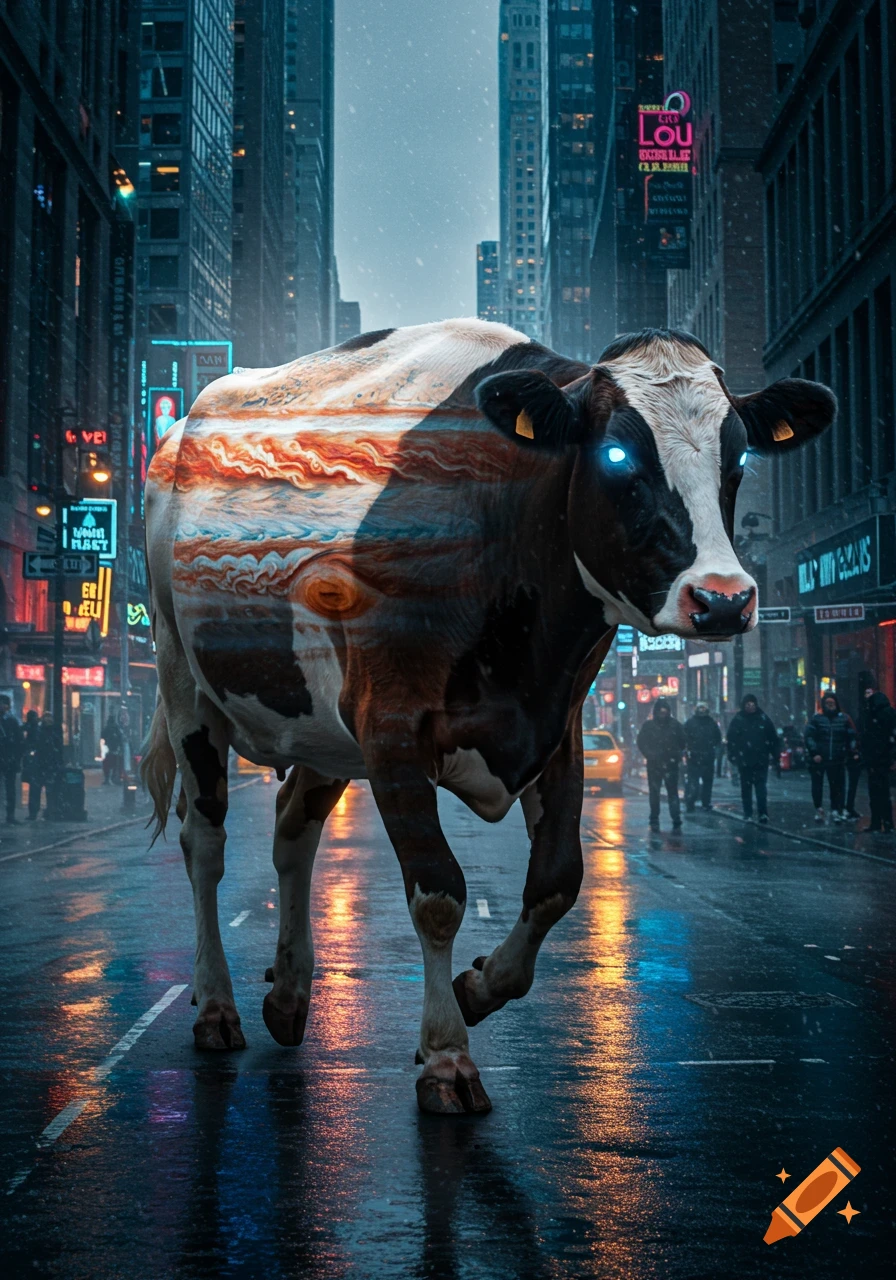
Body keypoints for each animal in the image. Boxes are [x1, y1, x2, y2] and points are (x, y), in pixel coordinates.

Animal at [142, 319, 834, 1115]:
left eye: (738, 455)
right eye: (617, 454)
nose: (723, 598)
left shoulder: (557, 724)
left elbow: (558, 880)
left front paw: (478, 988)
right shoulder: (391, 725)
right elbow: (439, 892)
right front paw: (447, 1056)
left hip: (320, 728)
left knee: (293, 830)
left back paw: (288, 995)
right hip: (183, 681)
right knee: (205, 844)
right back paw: (216, 1006)